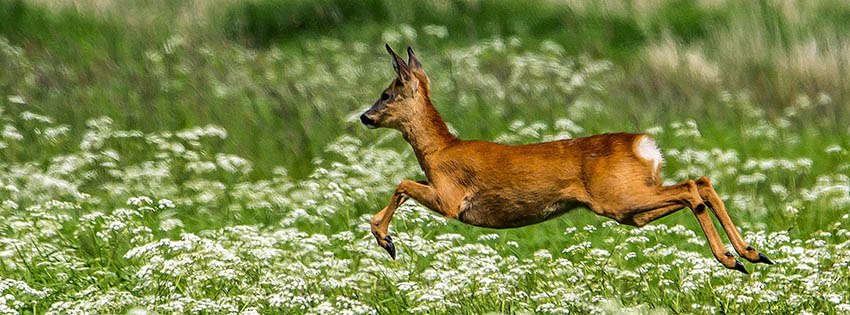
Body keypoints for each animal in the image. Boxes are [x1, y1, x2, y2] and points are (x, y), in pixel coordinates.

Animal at [362, 44, 772, 274]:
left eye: (386, 93)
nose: (365, 117)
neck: (440, 150)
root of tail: (645, 145)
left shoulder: (450, 198)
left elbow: (401, 183)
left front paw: (386, 240)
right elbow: (403, 184)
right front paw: (387, 239)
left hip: (619, 197)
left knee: (690, 187)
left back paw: (732, 259)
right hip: (630, 209)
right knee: (701, 182)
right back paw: (751, 254)